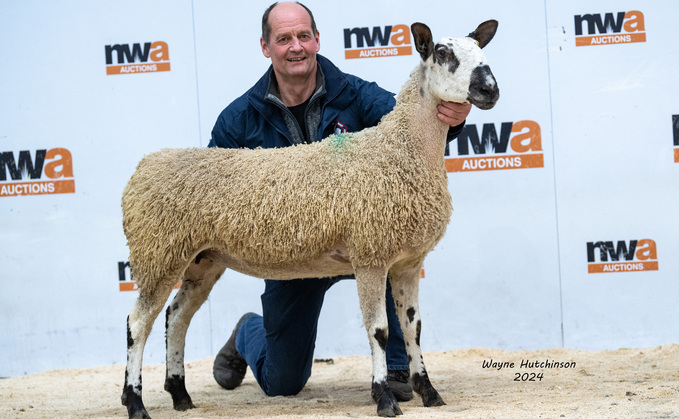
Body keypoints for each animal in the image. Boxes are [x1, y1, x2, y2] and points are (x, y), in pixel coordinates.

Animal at [121, 20, 500, 419]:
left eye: (481, 50)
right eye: (442, 53)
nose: (490, 89)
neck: (401, 149)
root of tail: (144, 166)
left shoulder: (408, 262)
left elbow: (413, 328)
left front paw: (429, 391)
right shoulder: (370, 256)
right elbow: (379, 330)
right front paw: (384, 397)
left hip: (201, 260)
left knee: (177, 316)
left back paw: (180, 394)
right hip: (158, 252)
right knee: (138, 323)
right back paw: (135, 402)